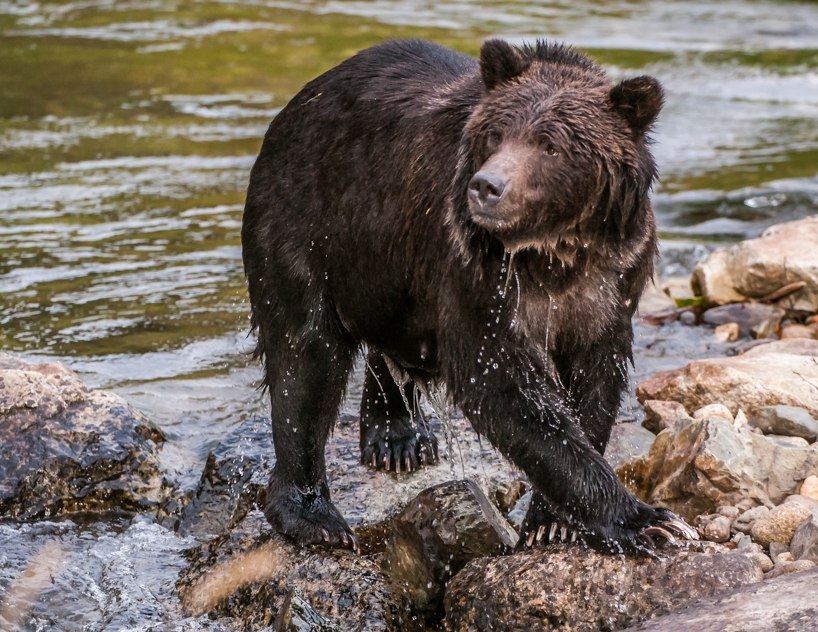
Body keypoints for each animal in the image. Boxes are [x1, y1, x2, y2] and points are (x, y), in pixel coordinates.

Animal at [241, 38, 697, 554]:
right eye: (496, 135)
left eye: (551, 145)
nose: (487, 186)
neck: (552, 254)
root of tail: (298, 103)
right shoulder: (477, 276)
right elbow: (505, 386)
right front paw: (647, 519)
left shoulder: (611, 282)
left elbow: (594, 384)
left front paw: (552, 520)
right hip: (307, 225)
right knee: (306, 358)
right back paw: (314, 514)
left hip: (387, 262)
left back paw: (397, 434)